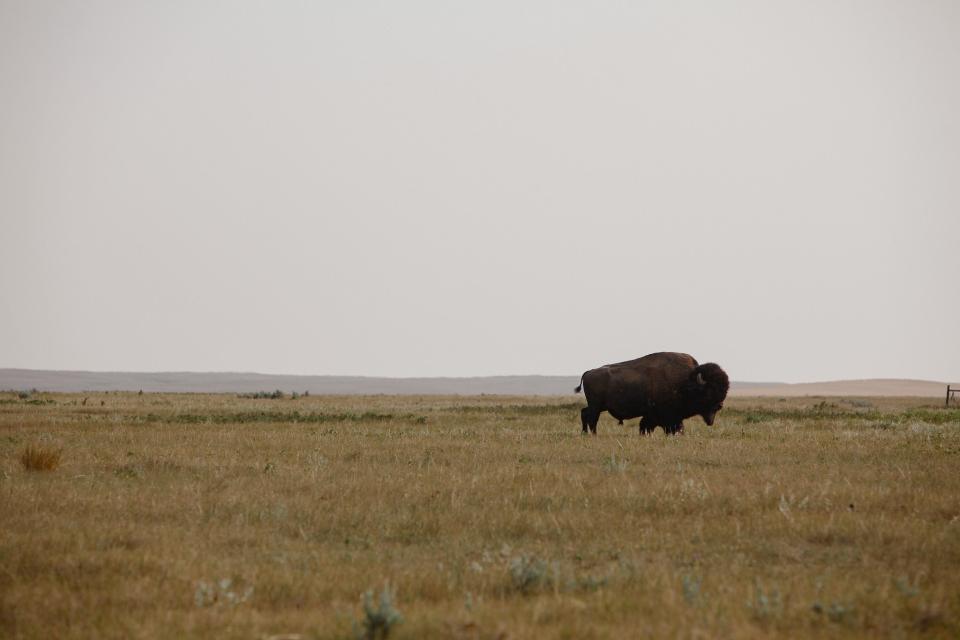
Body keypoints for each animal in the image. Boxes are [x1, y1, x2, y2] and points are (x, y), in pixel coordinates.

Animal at [576, 350, 728, 436]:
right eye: (709, 391)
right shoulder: (665, 416)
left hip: (600, 406)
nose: (719, 405)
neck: (686, 381)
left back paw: (585, 434)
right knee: (592, 419)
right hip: (596, 406)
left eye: (724, 390)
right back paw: (593, 435)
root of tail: (589, 372)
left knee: (584, 413)